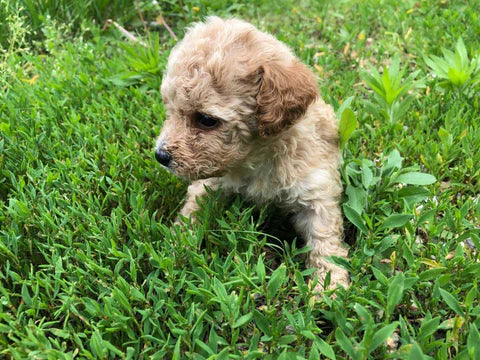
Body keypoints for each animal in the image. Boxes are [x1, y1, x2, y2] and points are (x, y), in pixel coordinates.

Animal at [157, 16, 348, 292]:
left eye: (206, 120)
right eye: (170, 110)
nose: (160, 156)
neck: (255, 157)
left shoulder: (316, 188)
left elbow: (324, 237)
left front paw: (329, 285)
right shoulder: (209, 182)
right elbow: (192, 210)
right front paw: (174, 250)